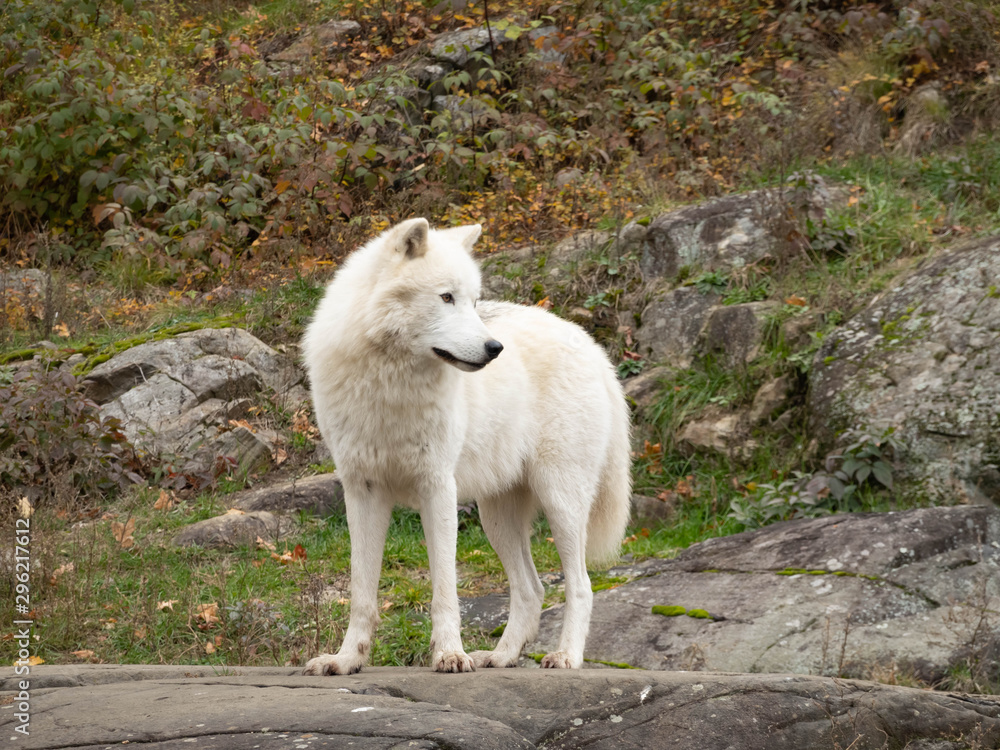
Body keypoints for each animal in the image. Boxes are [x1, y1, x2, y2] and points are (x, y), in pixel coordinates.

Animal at [301, 218, 631, 674]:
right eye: (446, 297)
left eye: (474, 302)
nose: (495, 349)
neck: (390, 386)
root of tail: (592, 346)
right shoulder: (361, 491)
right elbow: (362, 593)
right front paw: (347, 659)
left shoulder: (437, 487)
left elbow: (444, 590)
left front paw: (449, 655)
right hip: (497, 518)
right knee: (531, 588)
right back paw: (500, 656)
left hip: (561, 501)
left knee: (580, 585)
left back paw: (566, 656)